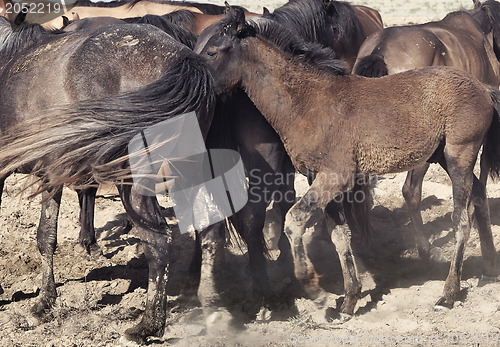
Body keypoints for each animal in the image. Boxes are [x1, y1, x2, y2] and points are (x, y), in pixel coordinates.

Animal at [0, 17, 214, 342]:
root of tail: (180, 58)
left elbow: (43, 235)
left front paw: (39, 304)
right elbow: (48, 235)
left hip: (132, 183)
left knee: (158, 242)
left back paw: (148, 325)